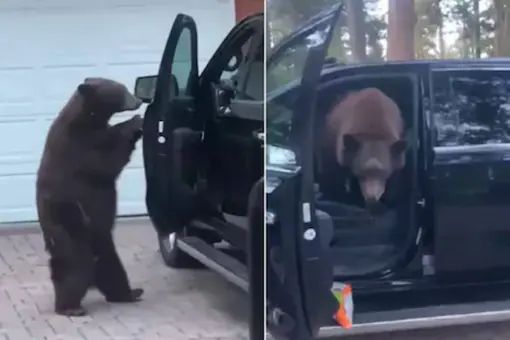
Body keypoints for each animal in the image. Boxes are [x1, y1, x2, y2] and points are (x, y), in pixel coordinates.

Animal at [36, 77, 144, 316]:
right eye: (122, 90)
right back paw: (70, 307)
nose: (139, 100)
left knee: (110, 267)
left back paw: (130, 293)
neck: (88, 120)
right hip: (69, 225)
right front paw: (134, 123)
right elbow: (106, 163)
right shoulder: (78, 146)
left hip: (101, 240)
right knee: (76, 267)